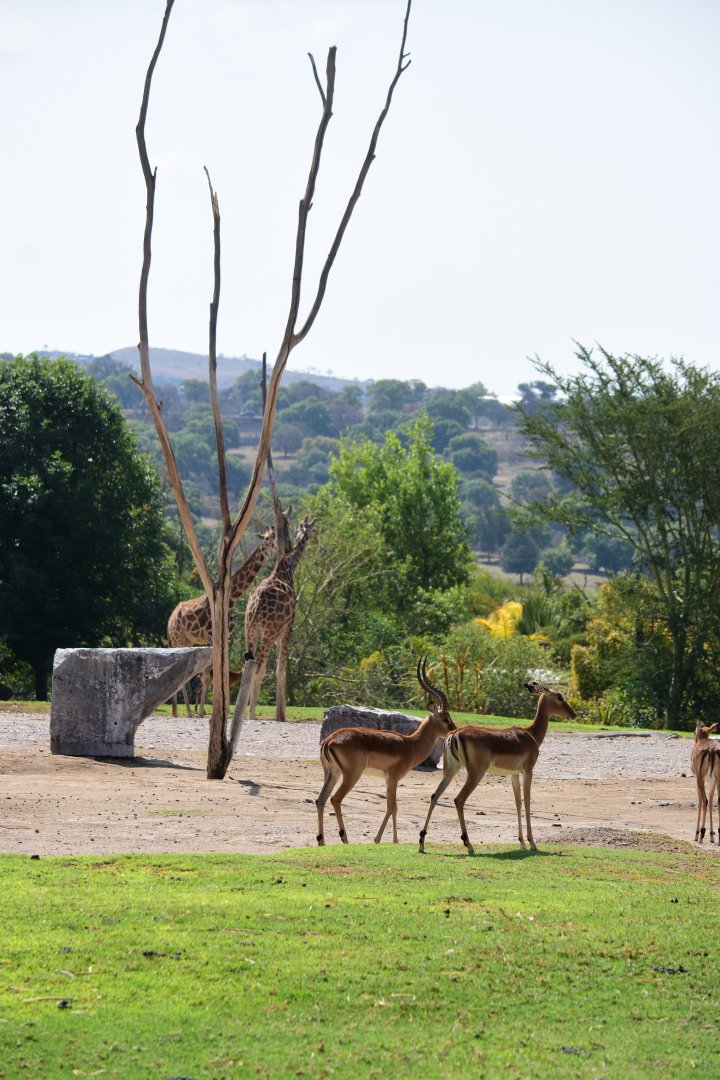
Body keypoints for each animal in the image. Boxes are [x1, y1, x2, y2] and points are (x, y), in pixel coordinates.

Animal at [167, 528, 276, 717]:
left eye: (275, 539)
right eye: (267, 539)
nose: (275, 551)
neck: (231, 600)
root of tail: (169, 620)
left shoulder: (227, 637)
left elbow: (222, 670)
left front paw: (224, 709)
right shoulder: (212, 636)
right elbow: (208, 675)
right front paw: (203, 712)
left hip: (187, 640)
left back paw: (178, 711)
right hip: (178, 639)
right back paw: (186, 712)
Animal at [243, 516, 316, 723]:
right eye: (310, 529)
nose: (306, 536)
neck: (287, 567)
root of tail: (256, 606)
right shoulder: (287, 627)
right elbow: (280, 668)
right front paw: (281, 716)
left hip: (250, 630)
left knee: (248, 666)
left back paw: (244, 711)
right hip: (268, 632)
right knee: (259, 667)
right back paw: (251, 714)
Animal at [316, 659, 456, 846]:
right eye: (446, 719)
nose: (454, 730)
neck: (410, 744)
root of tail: (329, 740)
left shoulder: (388, 779)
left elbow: (394, 807)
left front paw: (394, 840)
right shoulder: (393, 778)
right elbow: (391, 807)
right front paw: (379, 839)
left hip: (332, 774)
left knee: (321, 800)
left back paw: (321, 842)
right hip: (351, 775)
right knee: (335, 799)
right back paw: (345, 839)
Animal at [419, 682, 576, 854]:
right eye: (559, 697)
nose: (573, 714)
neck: (530, 734)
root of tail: (455, 733)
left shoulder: (514, 775)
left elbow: (518, 802)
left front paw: (521, 843)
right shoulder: (528, 771)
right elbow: (527, 802)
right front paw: (532, 843)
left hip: (450, 771)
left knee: (434, 796)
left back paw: (422, 842)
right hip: (475, 774)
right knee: (458, 800)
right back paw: (469, 844)